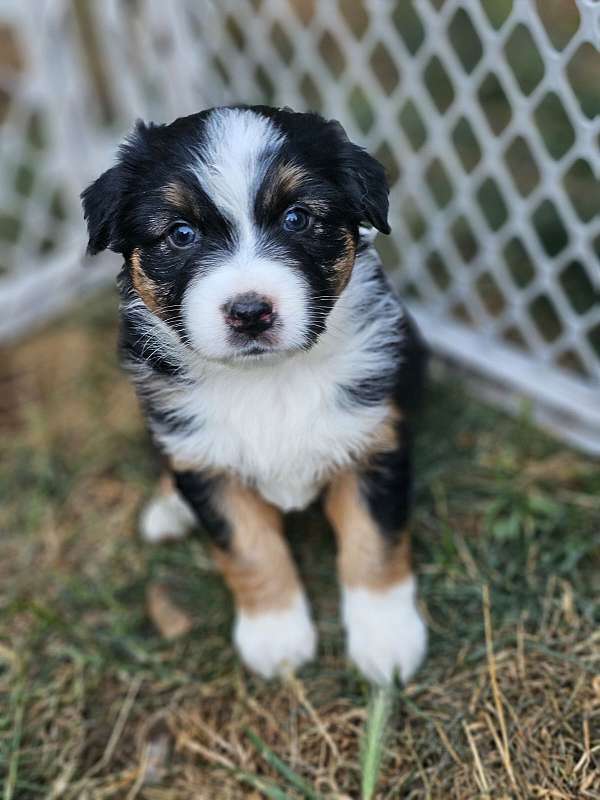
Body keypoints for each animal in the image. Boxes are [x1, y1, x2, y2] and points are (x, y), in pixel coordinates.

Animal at [82, 103, 428, 684]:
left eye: (296, 219)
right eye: (180, 234)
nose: (249, 312)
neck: (269, 379)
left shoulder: (373, 439)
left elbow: (373, 542)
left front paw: (386, 640)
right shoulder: (205, 460)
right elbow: (248, 548)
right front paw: (276, 635)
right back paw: (169, 509)